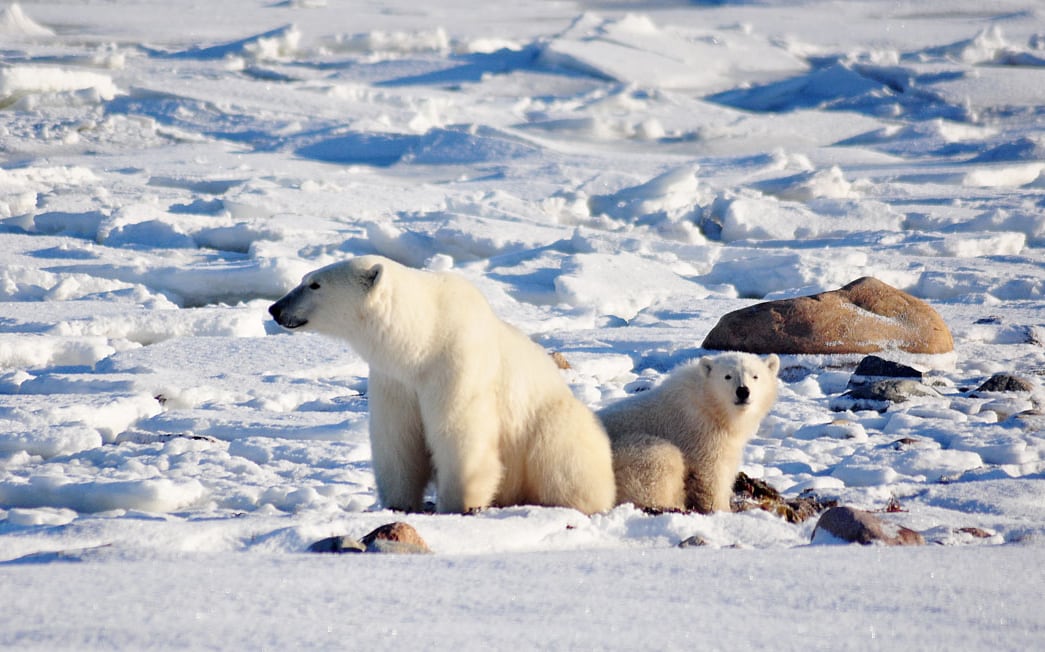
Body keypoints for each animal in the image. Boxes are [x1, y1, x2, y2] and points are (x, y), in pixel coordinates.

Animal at [268, 255, 616, 515]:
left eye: (314, 284)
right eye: (305, 278)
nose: (275, 308)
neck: (424, 339)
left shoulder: (456, 365)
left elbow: (460, 433)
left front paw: (458, 505)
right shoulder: (395, 380)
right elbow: (397, 439)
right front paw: (397, 503)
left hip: (550, 425)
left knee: (562, 458)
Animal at [597, 352, 780, 513]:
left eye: (755, 376)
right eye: (727, 376)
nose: (743, 391)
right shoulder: (700, 432)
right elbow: (711, 474)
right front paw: (722, 509)